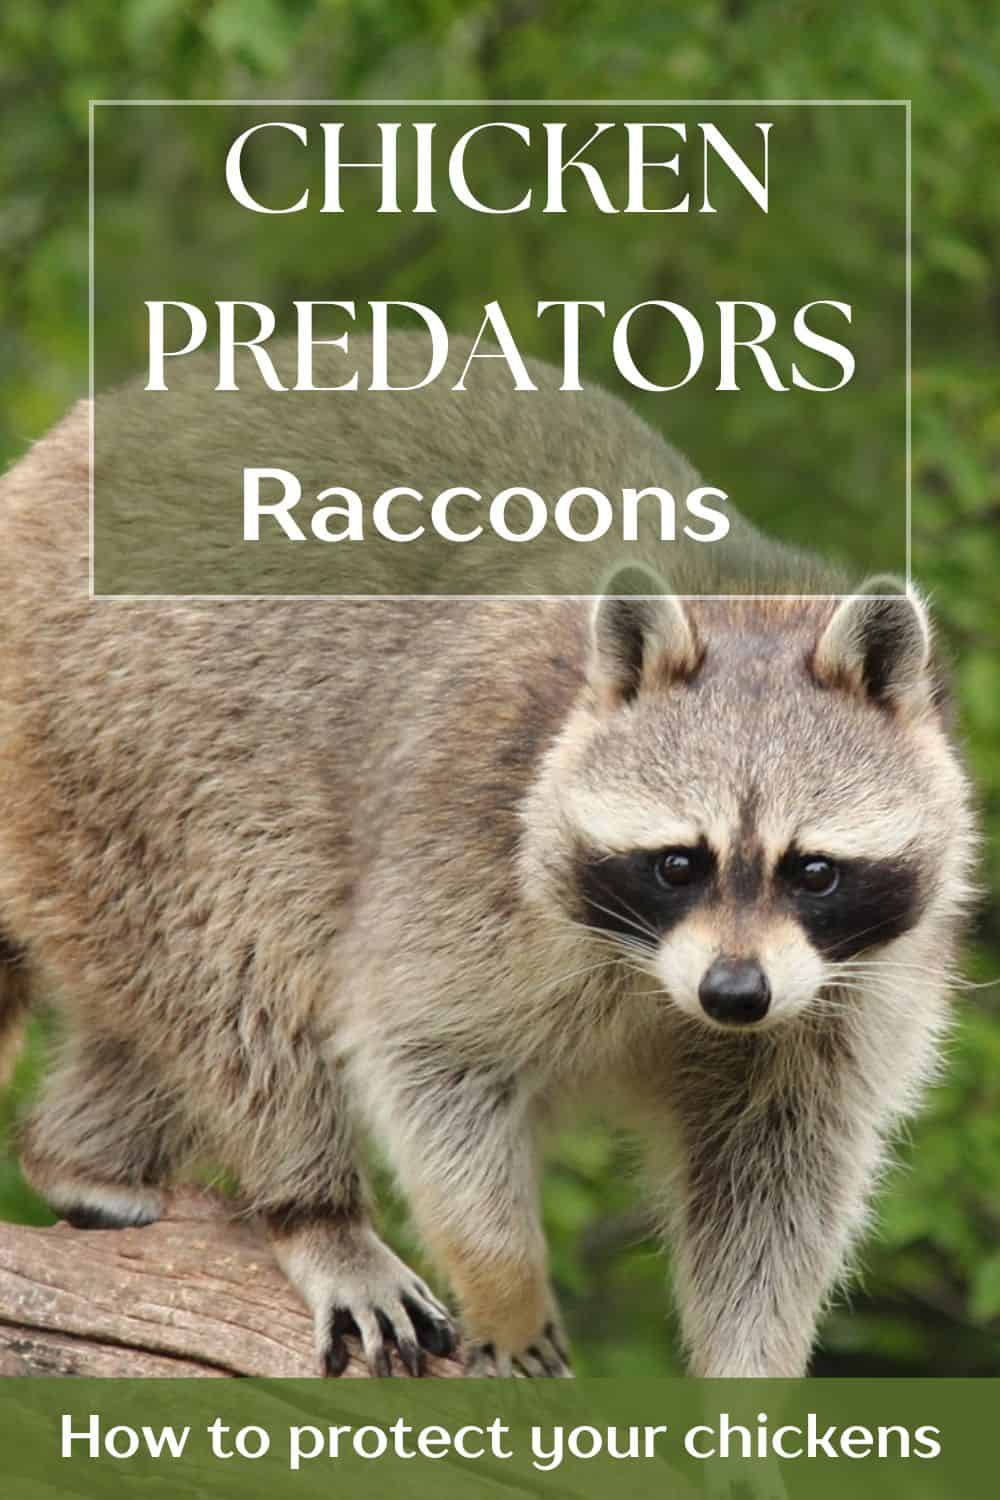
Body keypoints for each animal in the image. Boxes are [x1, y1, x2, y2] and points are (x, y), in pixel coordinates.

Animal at [0, 343, 975, 1378]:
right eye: (678, 863)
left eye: (812, 870)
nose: (735, 994)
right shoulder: (464, 825)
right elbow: (427, 1056)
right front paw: (505, 1283)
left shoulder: (851, 989)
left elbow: (779, 1175)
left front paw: (748, 1376)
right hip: (124, 737)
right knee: (242, 974)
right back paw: (313, 1209)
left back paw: (82, 1157)